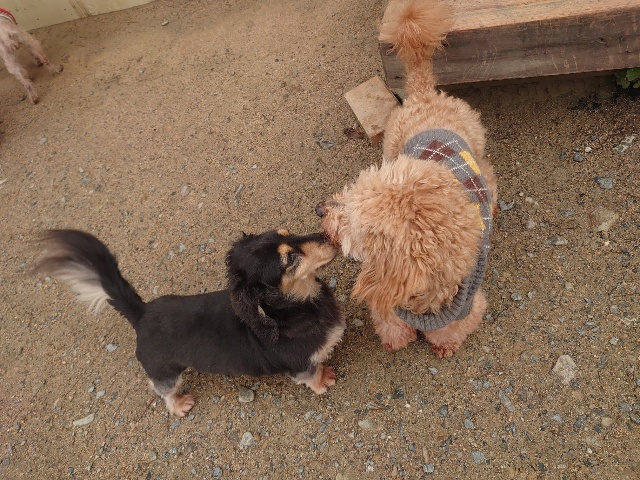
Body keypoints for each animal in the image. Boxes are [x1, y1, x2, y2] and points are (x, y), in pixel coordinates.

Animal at [34, 229, 345, 416]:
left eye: (288, 233)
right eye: (290, 258)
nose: (331, 234)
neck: (289, 311)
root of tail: (142, 313)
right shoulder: (300, 366)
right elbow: (312, 376)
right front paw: (322, 381)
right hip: (166, 372)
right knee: (161, 390)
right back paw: (178, 405)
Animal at [316, 0, 498, 358]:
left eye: (350, 220)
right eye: (350, 192)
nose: (321, 209)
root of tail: (423, 93)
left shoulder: (470, 305)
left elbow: (450, 329)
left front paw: (444, 343)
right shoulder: (386, 296)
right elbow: (390, 321)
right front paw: (396, 339)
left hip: (480, 152)